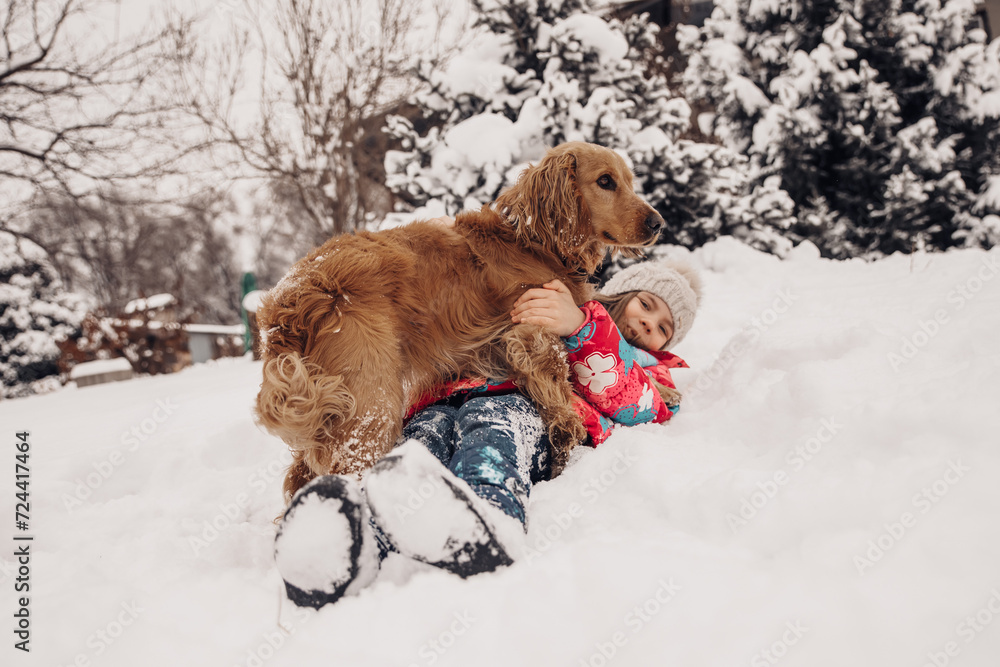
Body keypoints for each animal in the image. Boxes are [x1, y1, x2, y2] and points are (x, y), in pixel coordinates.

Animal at [256, 144, 664, 504]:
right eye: (606, 181)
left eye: (630, 181)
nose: (658, 222)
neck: (534, 242)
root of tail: (289, 299)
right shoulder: (530, 331)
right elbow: (562, 392)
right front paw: (567, 443)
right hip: (370, 406)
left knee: (301, 475)